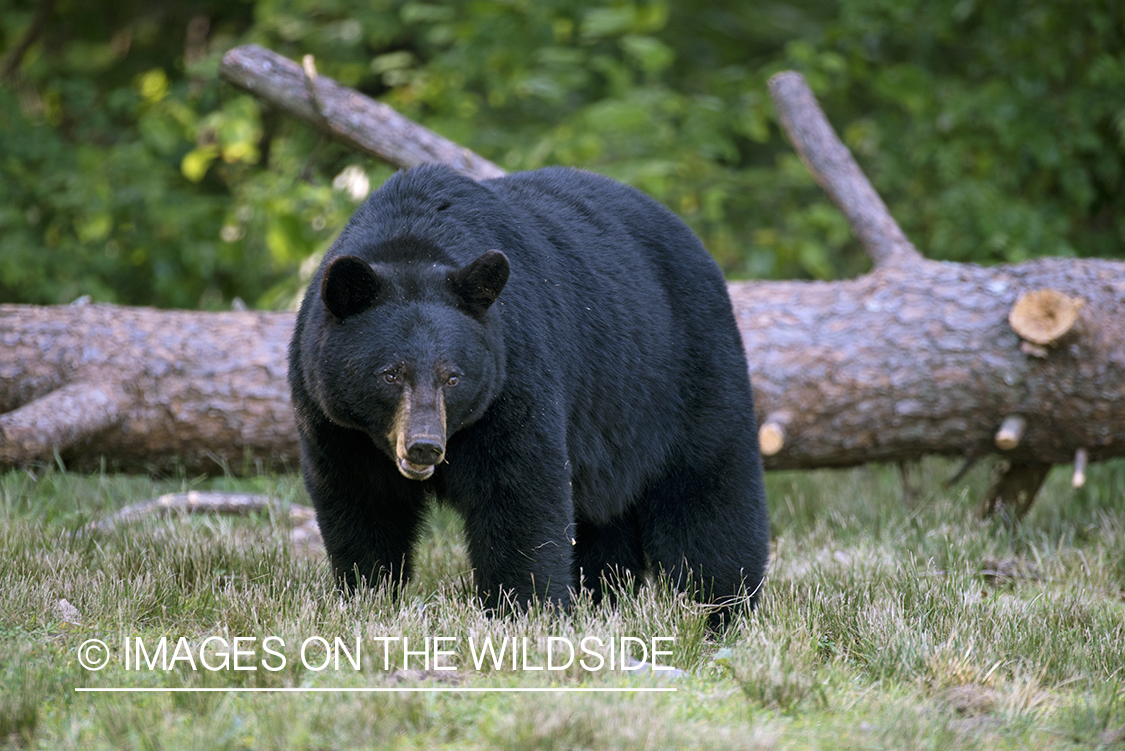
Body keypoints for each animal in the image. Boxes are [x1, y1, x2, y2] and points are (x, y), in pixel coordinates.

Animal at [288, 164, 769, 621]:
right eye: (390, 374)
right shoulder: (333, 422)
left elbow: (520, 493)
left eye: (453, 377)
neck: (411, 239)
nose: (424, 445)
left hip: (683, 374)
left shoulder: (512, 373)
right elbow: (361, 503)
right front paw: (367, 597)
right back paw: (605, 601)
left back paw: (719, 609)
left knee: (708, 493)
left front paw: (524, 611)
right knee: (606, 524)